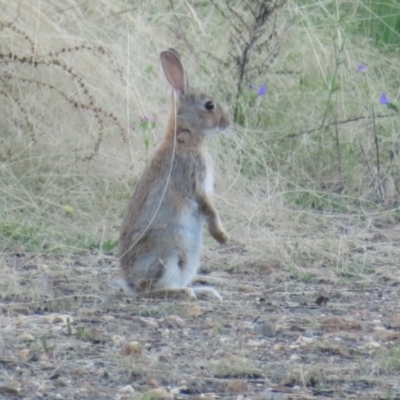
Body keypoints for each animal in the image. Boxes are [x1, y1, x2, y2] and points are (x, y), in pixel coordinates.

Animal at [117, 47, 230, 300]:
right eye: (209, 105)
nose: (228, 122)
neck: (184, 135)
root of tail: (129, 281)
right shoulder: (195, 181)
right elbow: (209, 209)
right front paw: (222, 236)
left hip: (188, 260)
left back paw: (204, 290)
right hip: (170, 252)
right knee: (149, 289)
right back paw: (184, 293)